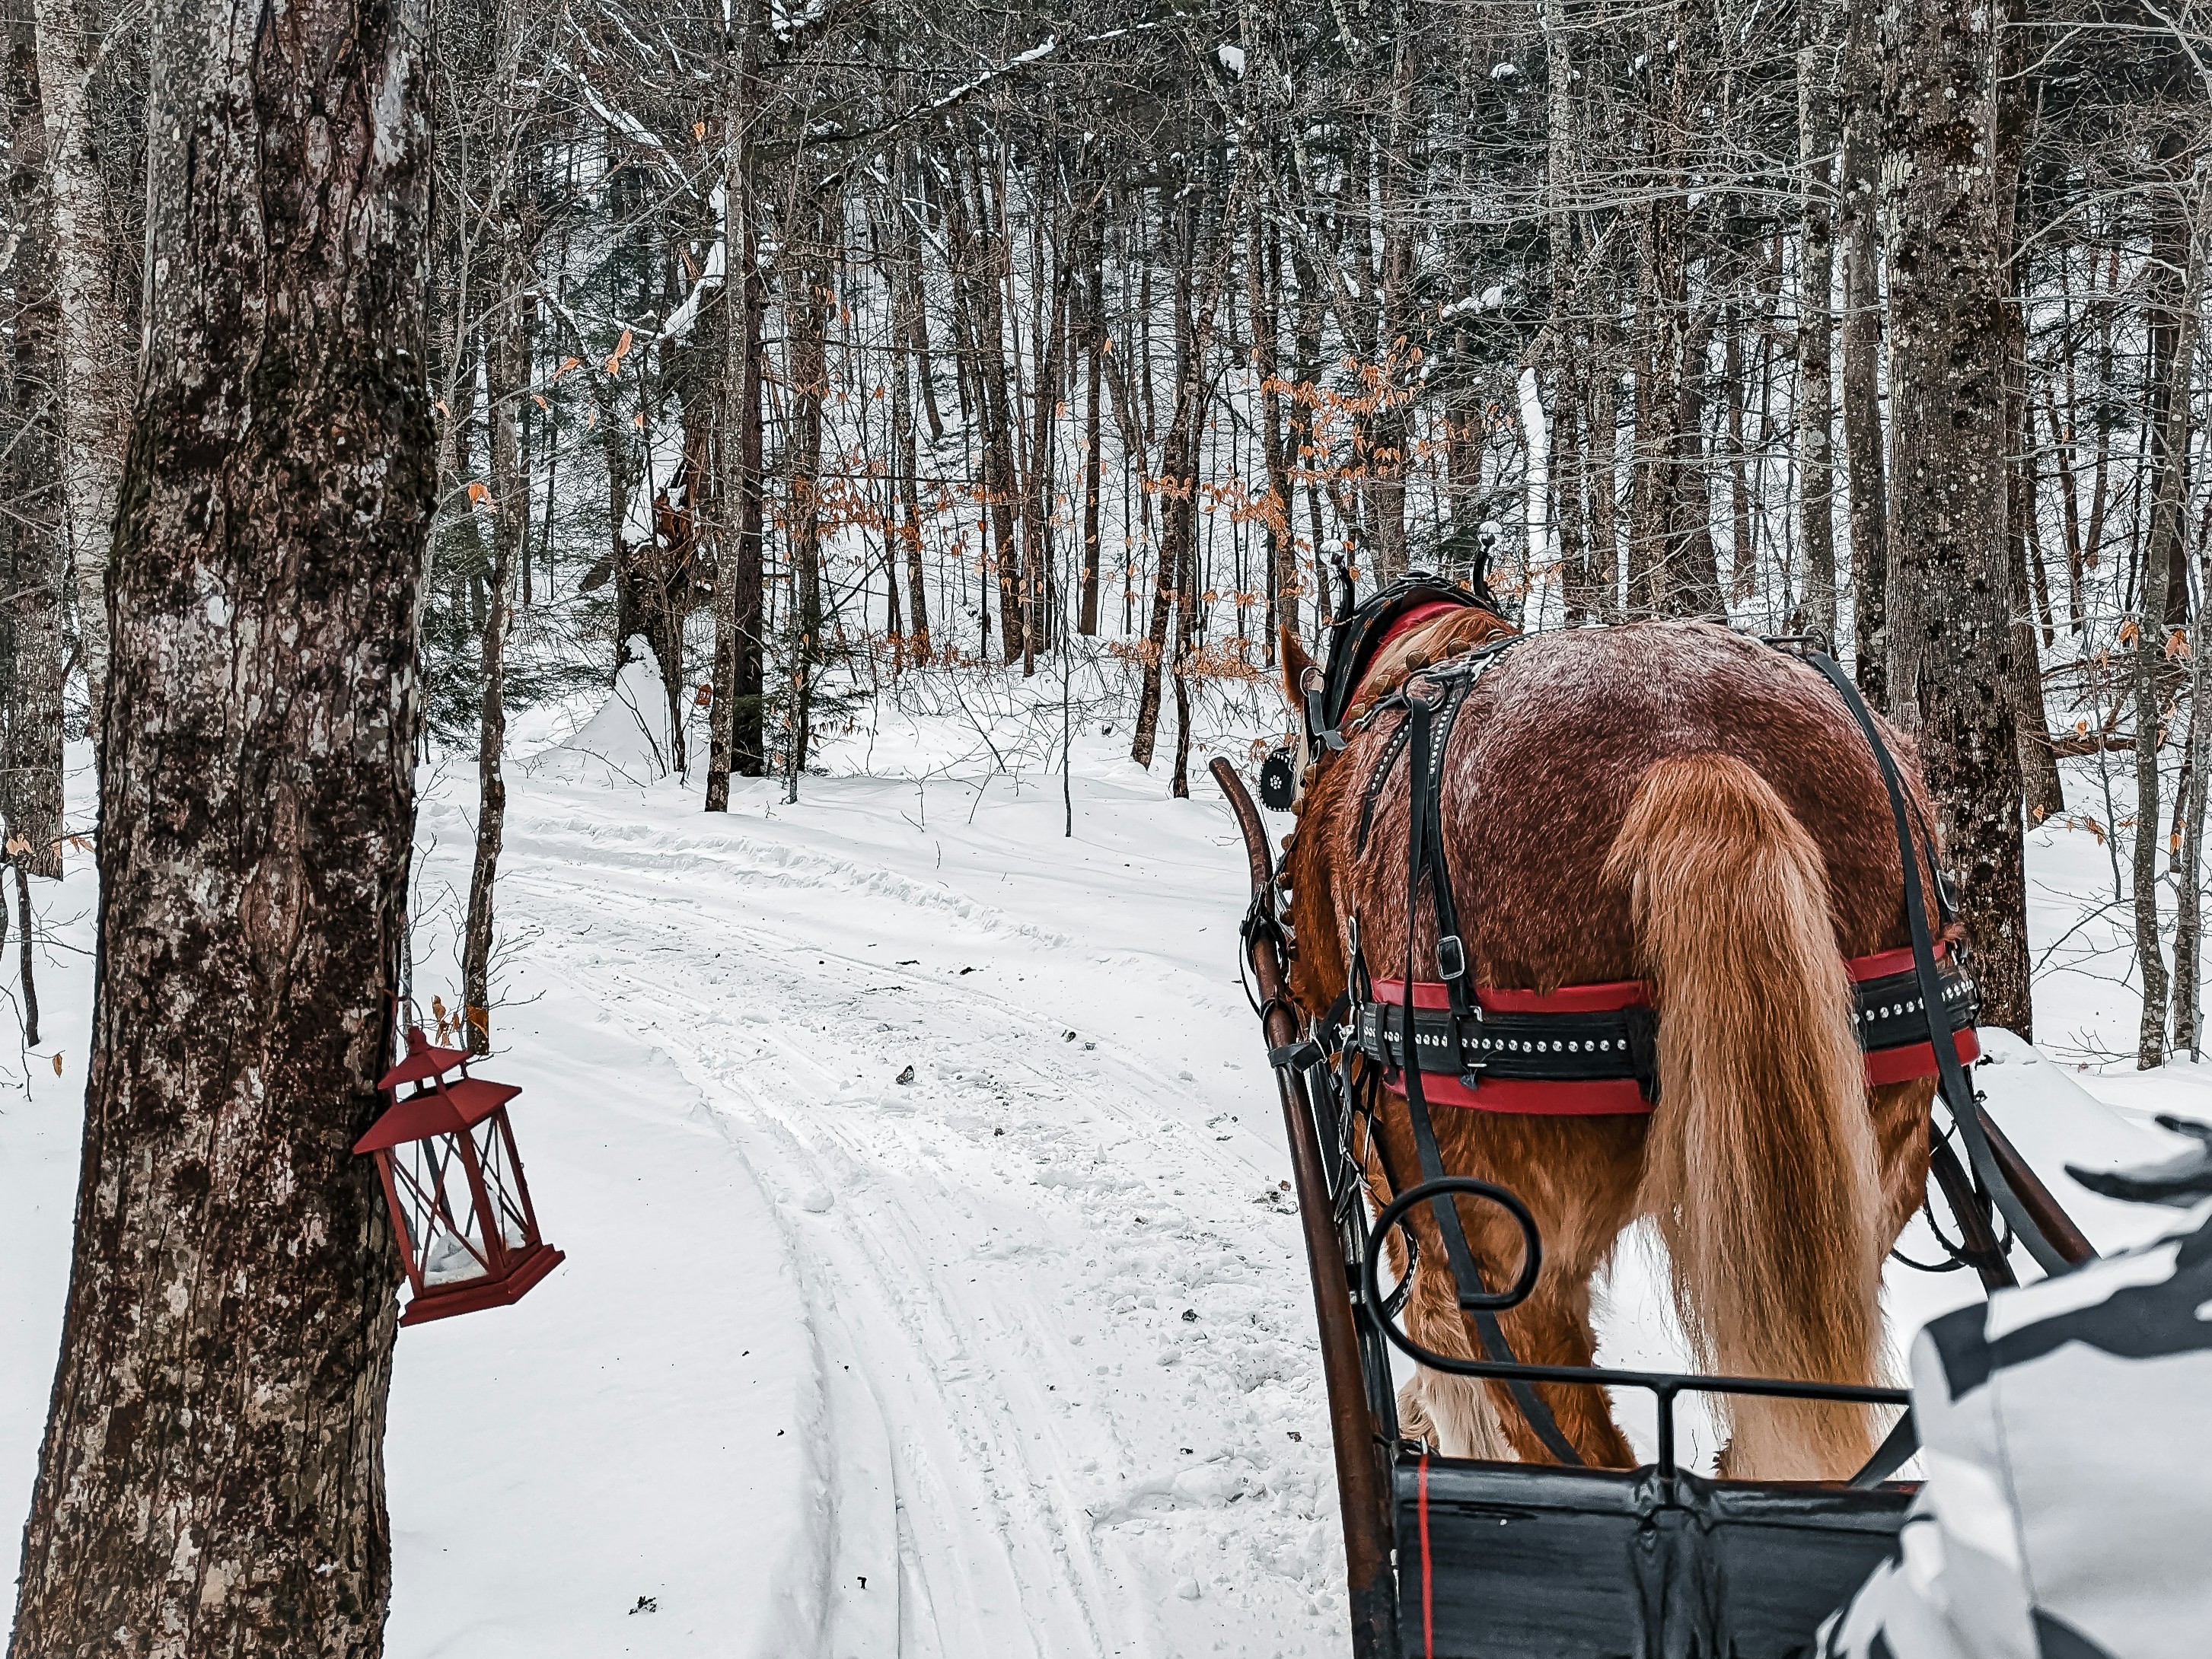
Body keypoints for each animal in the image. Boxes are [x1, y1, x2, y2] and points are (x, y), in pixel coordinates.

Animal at [1274, 606, 1944, 1481]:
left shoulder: (1405, 1204)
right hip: (1861, 1178)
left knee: (1572, 1446)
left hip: (1504, 1257)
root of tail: (1693, 761)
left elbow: (1440, 1362)